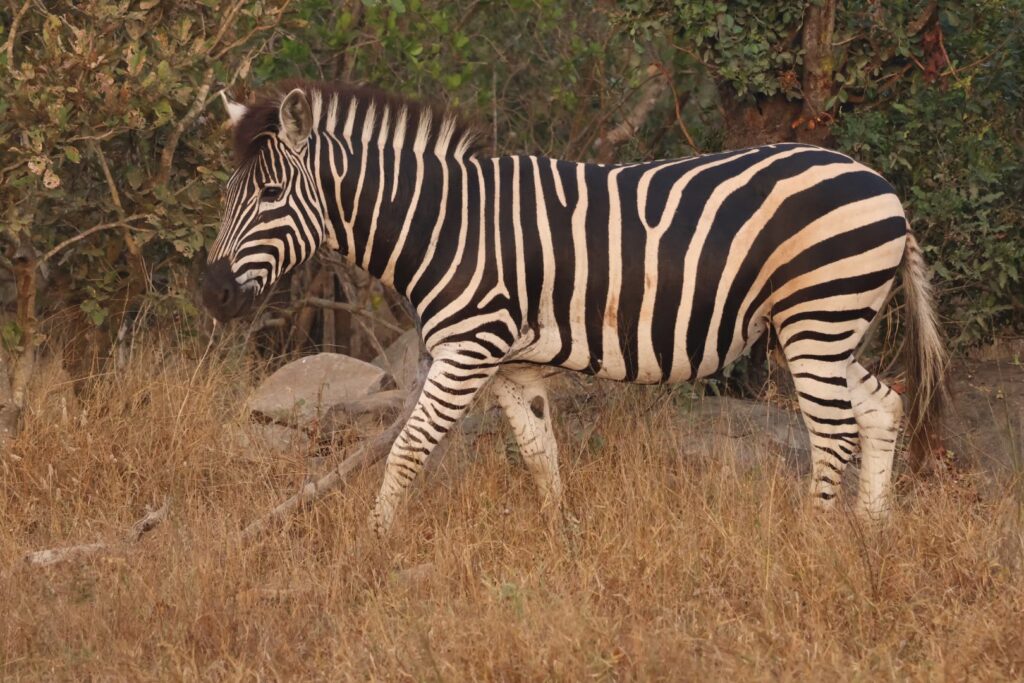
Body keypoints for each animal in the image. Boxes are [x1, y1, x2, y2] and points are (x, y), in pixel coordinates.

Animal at [203, 81, 947, 537]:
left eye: (270, 194)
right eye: (230, 192)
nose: (211, 292)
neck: (446, 224)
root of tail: (885, 189)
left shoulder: (469, 348)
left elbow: (409, 448)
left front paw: (373, 545)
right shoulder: (509, 361)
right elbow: (540, 451)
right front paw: (562, 540)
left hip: (818, 315)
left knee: (835, 433)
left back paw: (811, 542)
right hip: (824, 327)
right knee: (882, 406)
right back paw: (870, 536)